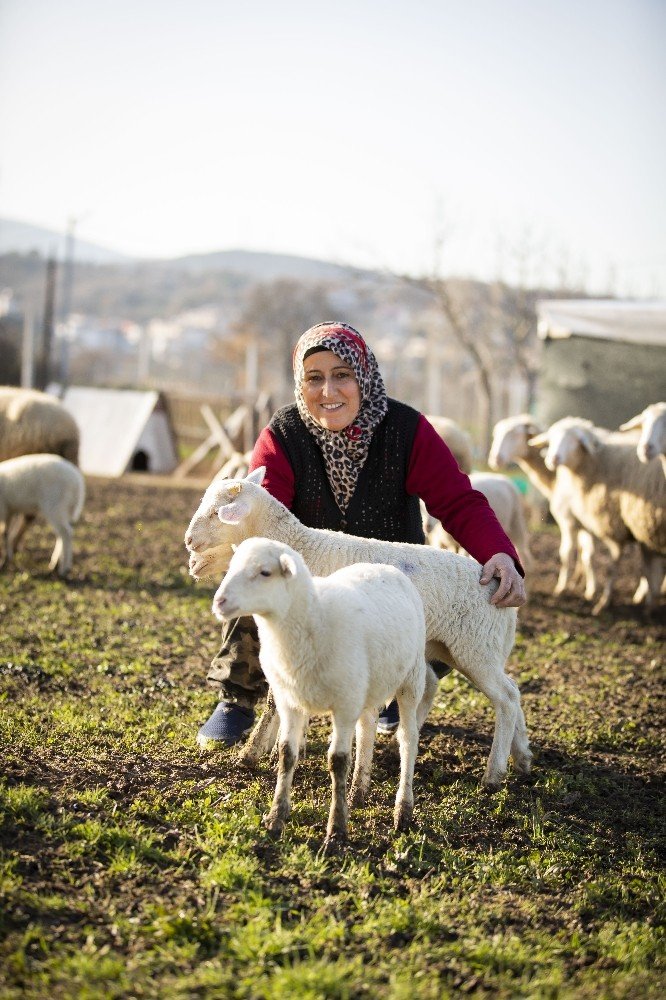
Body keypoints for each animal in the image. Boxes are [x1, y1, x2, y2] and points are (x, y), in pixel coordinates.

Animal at [209, 536, 436, 840]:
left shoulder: (344, 704)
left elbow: (338, 762)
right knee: (367, 729)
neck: (313, 618)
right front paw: (276, 818)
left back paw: (403, 810)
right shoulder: (290, 702)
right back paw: (358, 792)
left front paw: (336, 829)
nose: (219, 602)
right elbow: (286, 754)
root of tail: (387, 568)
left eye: (265, 572)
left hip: (410, 679)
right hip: (367, 685)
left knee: (408, 740)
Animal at [482, 416, 596, 600]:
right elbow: (582, 549)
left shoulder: (574, 515)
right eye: (496, 434)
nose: (495, 459)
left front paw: (567, 587)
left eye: (515, 435)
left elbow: (572, 551)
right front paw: (578, 582)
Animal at [524, 418, 664, 612]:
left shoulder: (612, 524)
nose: (553, 459)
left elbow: (607, 562)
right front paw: (583, 587)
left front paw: (600, 599)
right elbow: (586, 553)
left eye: (575, 440)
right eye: (551, 439)